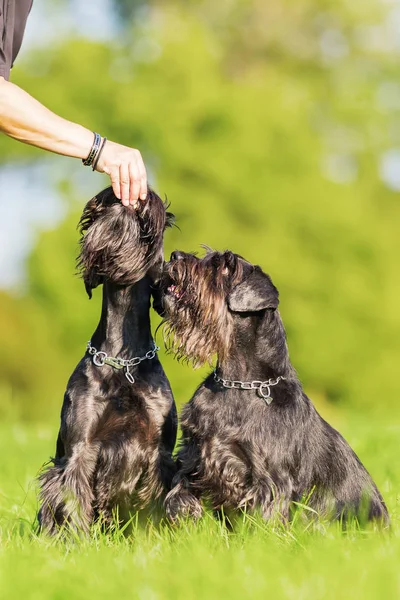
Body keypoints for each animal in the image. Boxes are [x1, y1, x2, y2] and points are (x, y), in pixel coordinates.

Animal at [38, 188, 177, 536]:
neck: (124, 359)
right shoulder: (79, 448)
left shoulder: (159, 453)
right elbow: (73, 504)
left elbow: (153, 509)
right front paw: (78, 544)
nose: (125, 195)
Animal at [161, 251, 390, 528]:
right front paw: (182, 519)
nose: (175, 255)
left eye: (225, 266)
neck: (238, 384)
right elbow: (179, 489)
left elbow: (264, 517)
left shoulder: (268, 477)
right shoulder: (194, 454)